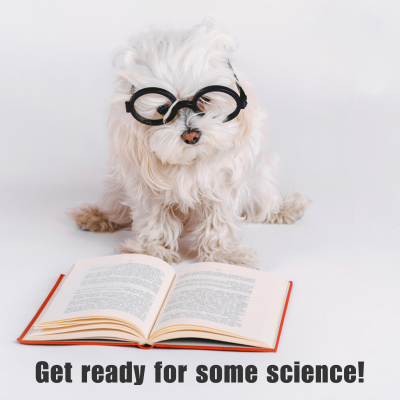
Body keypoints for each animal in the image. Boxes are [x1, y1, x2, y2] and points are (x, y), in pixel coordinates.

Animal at [70, 21, 310, 266]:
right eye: (163, 109)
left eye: (205, 99)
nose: (191, 135)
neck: (190, 161)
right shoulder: (146, 187)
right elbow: (154, 218)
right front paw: (151, 251)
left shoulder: (224, 183)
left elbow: (219, 220)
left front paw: (222, 255)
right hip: (114, 187)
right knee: (116, 208)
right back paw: (97, 216)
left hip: (262, 182)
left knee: (263, 204)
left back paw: (285, 208)